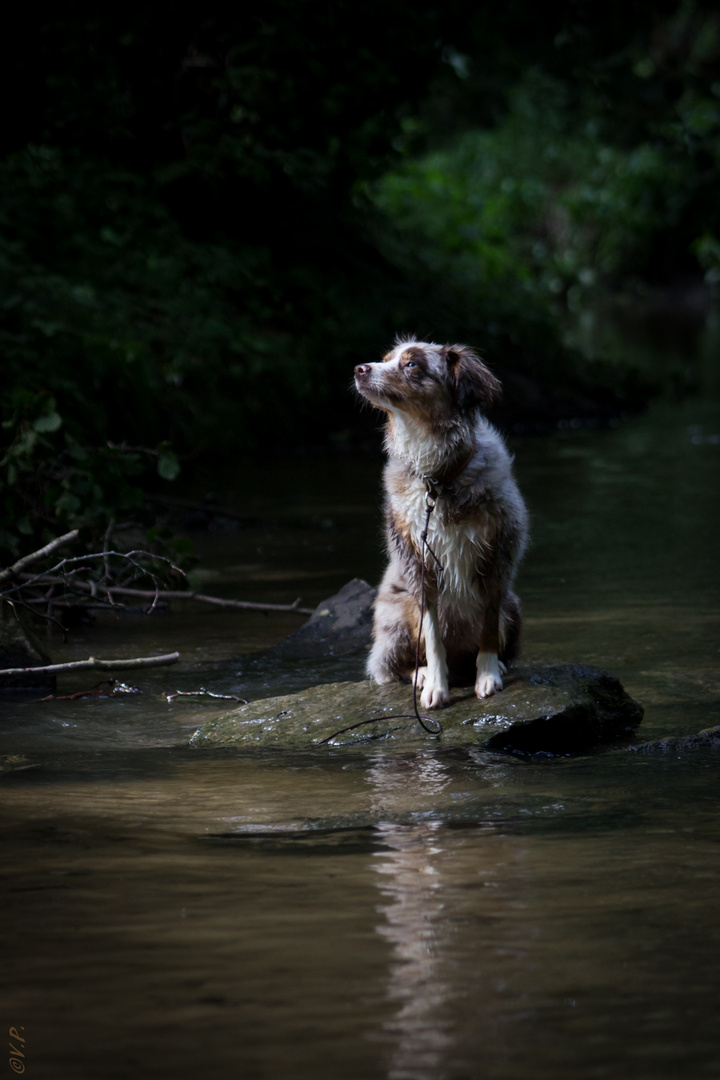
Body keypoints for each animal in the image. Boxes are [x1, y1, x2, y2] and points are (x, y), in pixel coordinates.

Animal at [354, 336, 528, 708]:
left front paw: (488, 675)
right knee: (392, 666)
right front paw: (436, 684)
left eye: (412, 364)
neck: (438, 477)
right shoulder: (419, 564)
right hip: (396, 616)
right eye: (385, 358)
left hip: (513, 607)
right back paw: (419, 675)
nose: (360, 368)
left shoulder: (497, 557)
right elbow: (432, 637)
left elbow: (488, 626)